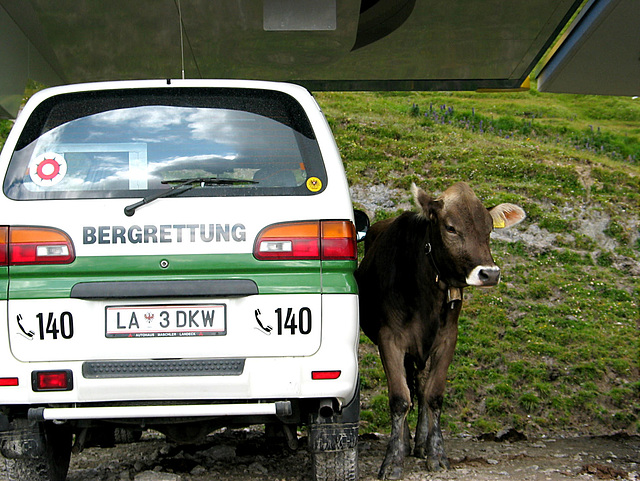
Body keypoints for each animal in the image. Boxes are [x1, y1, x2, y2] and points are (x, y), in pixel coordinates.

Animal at [356, 181, 524, 476]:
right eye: (450, 227)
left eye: (489, 229)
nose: (489, 273)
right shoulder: (390, 339)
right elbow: (399, 397)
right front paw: (393, 459)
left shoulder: (447, 339)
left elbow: (433, 395)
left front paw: (436, 452)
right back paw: (406, 441)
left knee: (421, 389)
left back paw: (421, 442)